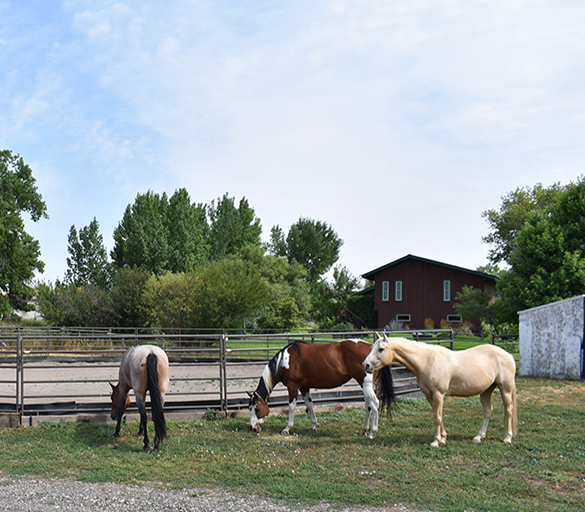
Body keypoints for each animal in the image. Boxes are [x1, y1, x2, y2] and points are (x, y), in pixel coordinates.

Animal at [246, 338, 392, 438]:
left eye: (257, 408)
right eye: (249, 408)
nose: (253, 428)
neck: (285, 360)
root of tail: (372, 348)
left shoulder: (293, 386)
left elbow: (292, 407)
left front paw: (287, 429)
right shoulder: (304, 387)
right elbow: (309, 405)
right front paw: (313, 426)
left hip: (365, 385)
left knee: (375, 403)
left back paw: (372, 432)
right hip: (366, 385)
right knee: (368, 406)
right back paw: (363, 430)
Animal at [362, 332, 516, 448]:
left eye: (381, 349)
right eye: (372, 347)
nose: (365, 365)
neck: (427, 361)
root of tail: (508, 355)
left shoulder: (438, 394)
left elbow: (437, 418)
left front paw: (436, 441)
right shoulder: (429, 395)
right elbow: (439, 416)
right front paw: (443, 438)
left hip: (505, 389)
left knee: (508, 410)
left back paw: (508, 438)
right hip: (486, 391)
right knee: (488, 411)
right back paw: (479, 437)